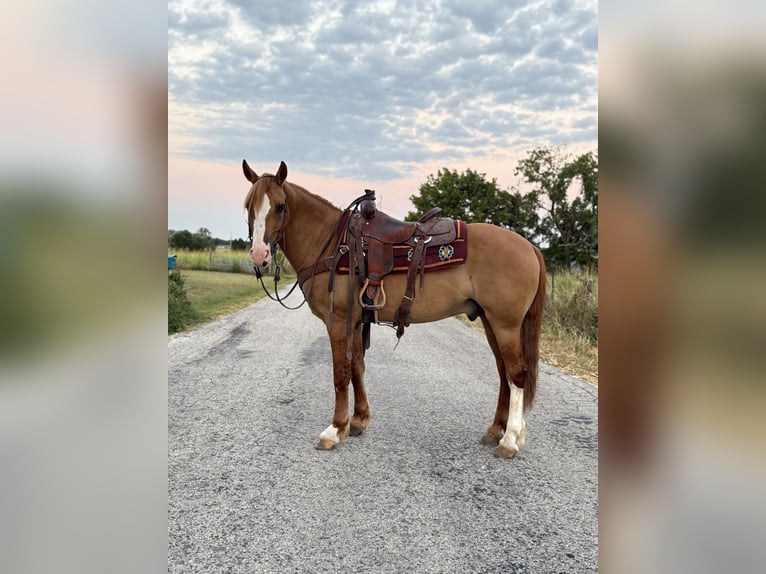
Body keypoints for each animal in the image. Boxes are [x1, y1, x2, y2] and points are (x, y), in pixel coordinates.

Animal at [243, 160, 545, 459]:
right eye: (248, 206)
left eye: (280, 206)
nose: (259, 255)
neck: (333, 245)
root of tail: (529, 246)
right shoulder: (355, 322)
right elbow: (357, 368)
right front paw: (357, 421)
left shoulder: (337, 321)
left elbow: (341, 373)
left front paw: (335, 429)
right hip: (490, 321)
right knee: (503, 373)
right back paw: (496, 430)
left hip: (505, 324)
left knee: (517, 373)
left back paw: (510, 439)